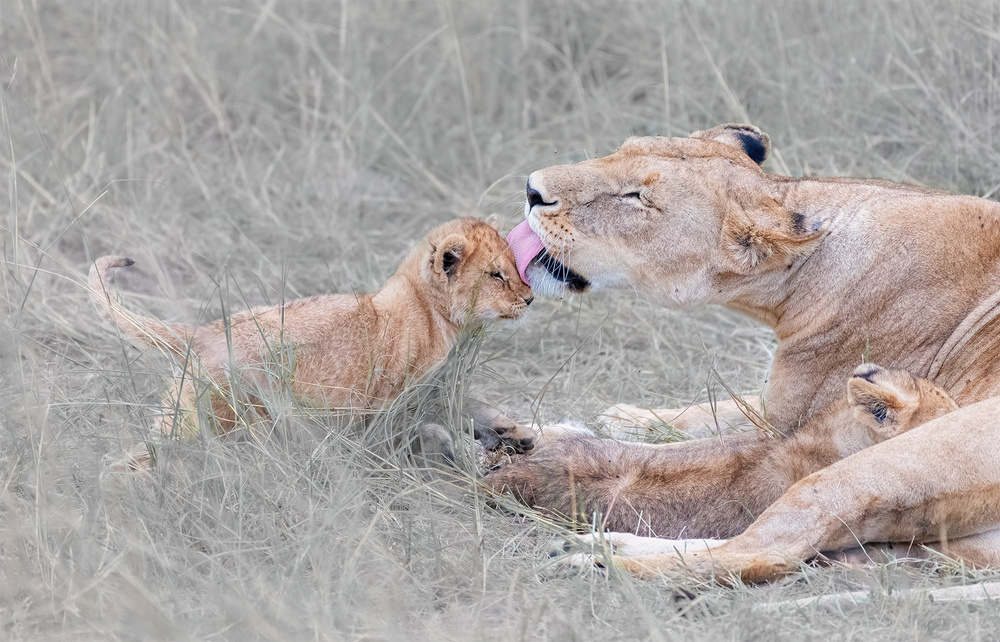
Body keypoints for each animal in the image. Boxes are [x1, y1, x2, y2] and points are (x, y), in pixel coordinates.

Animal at [494, 122, 1000, 584]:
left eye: (637, 197)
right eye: (619, 150)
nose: (532, 189)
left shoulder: (799, 422)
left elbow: (681, 451)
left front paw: (553, 439)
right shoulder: (780, 409)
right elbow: (708, 411)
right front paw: (607, 418)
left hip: (886, 465)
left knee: (767, 551)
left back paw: (593, 561)